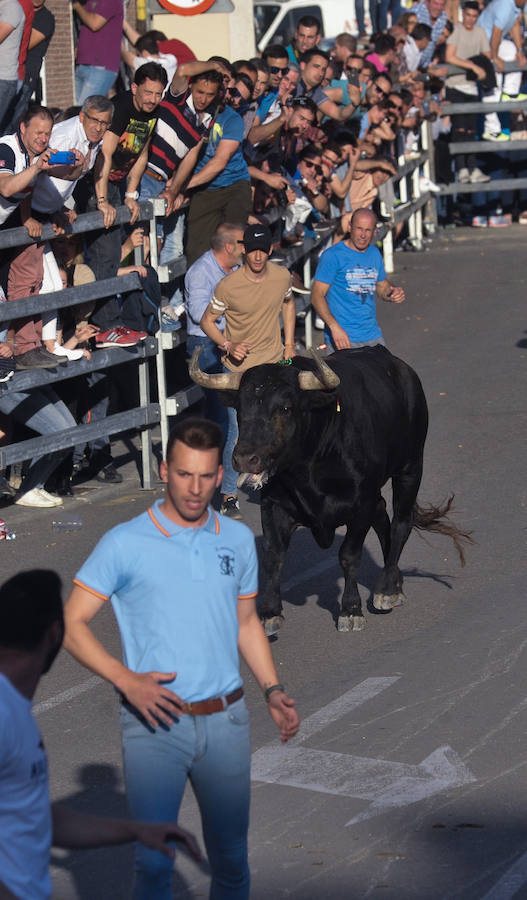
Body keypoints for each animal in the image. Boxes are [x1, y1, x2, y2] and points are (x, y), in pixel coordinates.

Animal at [191, 344, 474, 632]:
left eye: (285, 407)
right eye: (239, 407)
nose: (245, 458)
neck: (307, 468)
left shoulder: (361, 503)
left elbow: (349, 554)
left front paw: (350, 609)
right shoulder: (274, 505)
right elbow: (273, 555)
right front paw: (270, 612)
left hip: (411, 467)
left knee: (400, 524)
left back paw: (386, 590)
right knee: (383, 515)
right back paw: (394, 581)